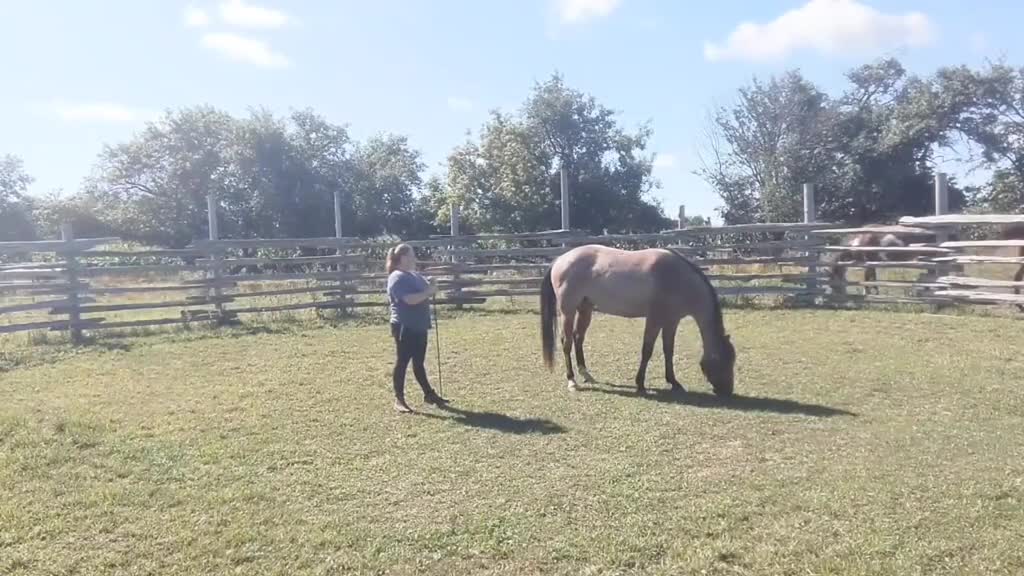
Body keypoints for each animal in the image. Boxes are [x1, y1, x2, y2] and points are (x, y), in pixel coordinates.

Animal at [536, 243, 737, 397]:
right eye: (724, 361)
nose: (727, 391)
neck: (678, 279)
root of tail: (560, 260)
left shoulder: (671, 321)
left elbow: (668, 350)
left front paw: (674, 382)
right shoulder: (654, 319)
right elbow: (647, 350)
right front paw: (640, 384)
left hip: (585, 309)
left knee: (578, 338)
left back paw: (587, 375)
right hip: (568, 311)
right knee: (567, 342)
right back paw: (572, 381)